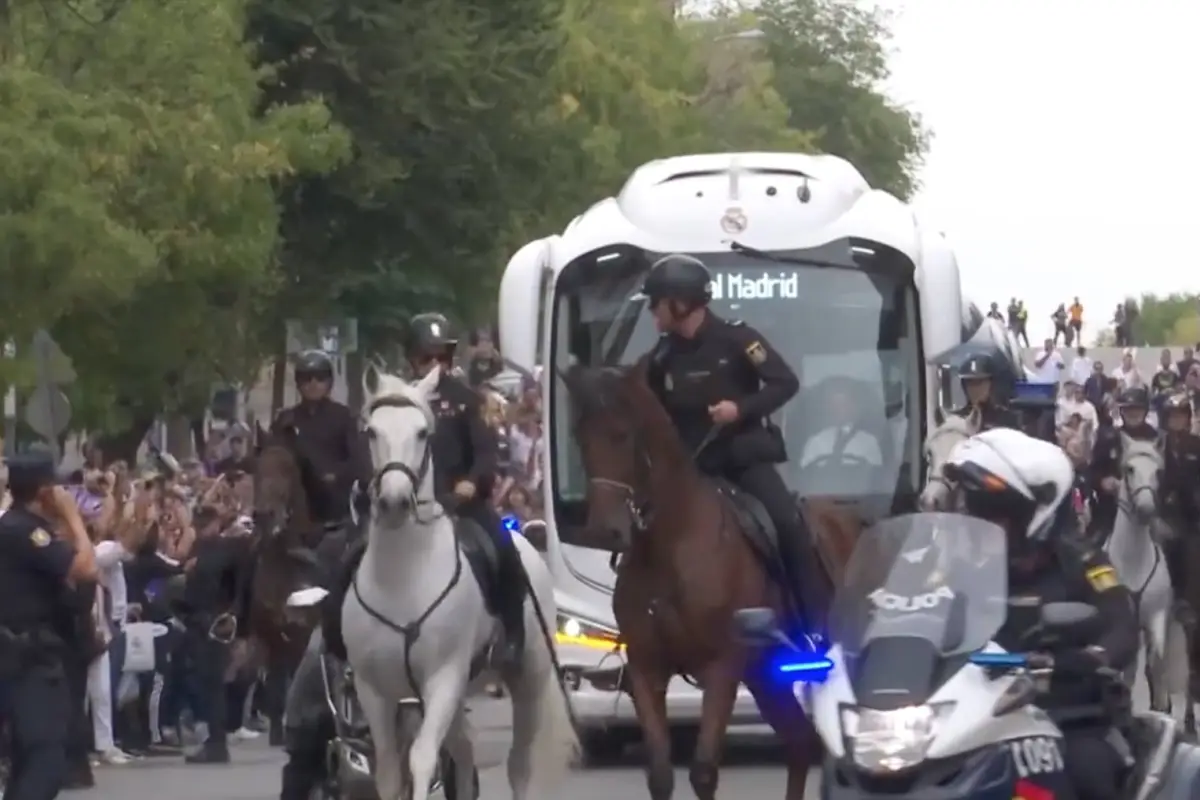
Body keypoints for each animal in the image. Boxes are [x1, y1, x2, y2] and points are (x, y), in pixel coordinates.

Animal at [340, 364, 578, 800]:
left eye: (422, 433)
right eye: (372, 432)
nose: (395, 502)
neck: (402, 578)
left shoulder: (443, 678)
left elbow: (421, 758)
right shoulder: (374, 690)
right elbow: (389, 772)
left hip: (528, 678)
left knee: (519, 765)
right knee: (465, 755)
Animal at [561, 364, 835, 800]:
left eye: (622, 435)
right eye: (579, 438)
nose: (603, 532)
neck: (669, 546)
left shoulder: (721, 668)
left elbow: (704, 771)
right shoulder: (647, 669)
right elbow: (660, 774)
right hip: (765, 675)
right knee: (801, 743)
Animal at [1099, 438, 1185, 719]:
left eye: (1158, 471)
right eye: (1129, 469)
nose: (1146, 509)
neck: (1133, 560)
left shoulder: (1156, 616)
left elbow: (1157, 663)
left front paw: (1162, 707)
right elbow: (1127, 672)